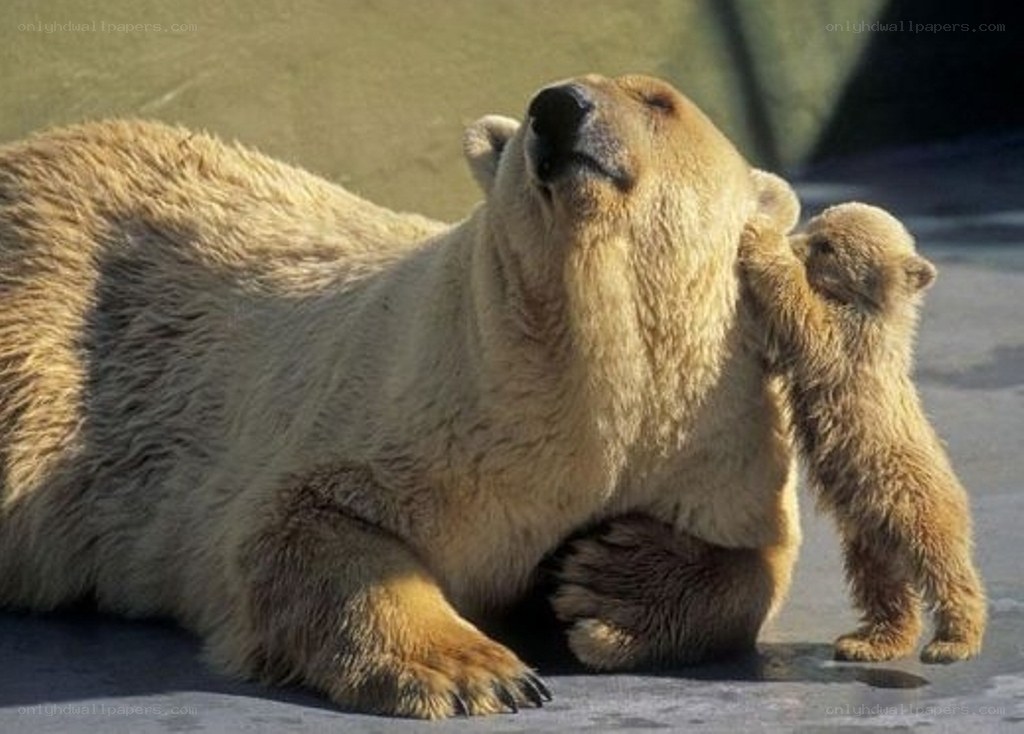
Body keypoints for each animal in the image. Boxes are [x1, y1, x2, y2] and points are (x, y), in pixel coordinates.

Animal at [0, 74, 801, 718]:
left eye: (658, 101)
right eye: (533, 104)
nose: (558, 107)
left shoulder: (714, 432)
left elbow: (760, 561)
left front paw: (607, 583)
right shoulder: (423, 400)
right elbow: (299, 520)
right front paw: (477, 672)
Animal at [738, 202, 987, 664]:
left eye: (827, 245)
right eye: (815, 227)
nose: (797, 241)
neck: (874, 309)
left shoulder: (851, 342)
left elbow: (808, 320)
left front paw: (763, 239)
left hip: (915, 501)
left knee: (944, 566)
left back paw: (952, 642)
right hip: (868, 532)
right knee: (881, 583)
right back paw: (867, 641)